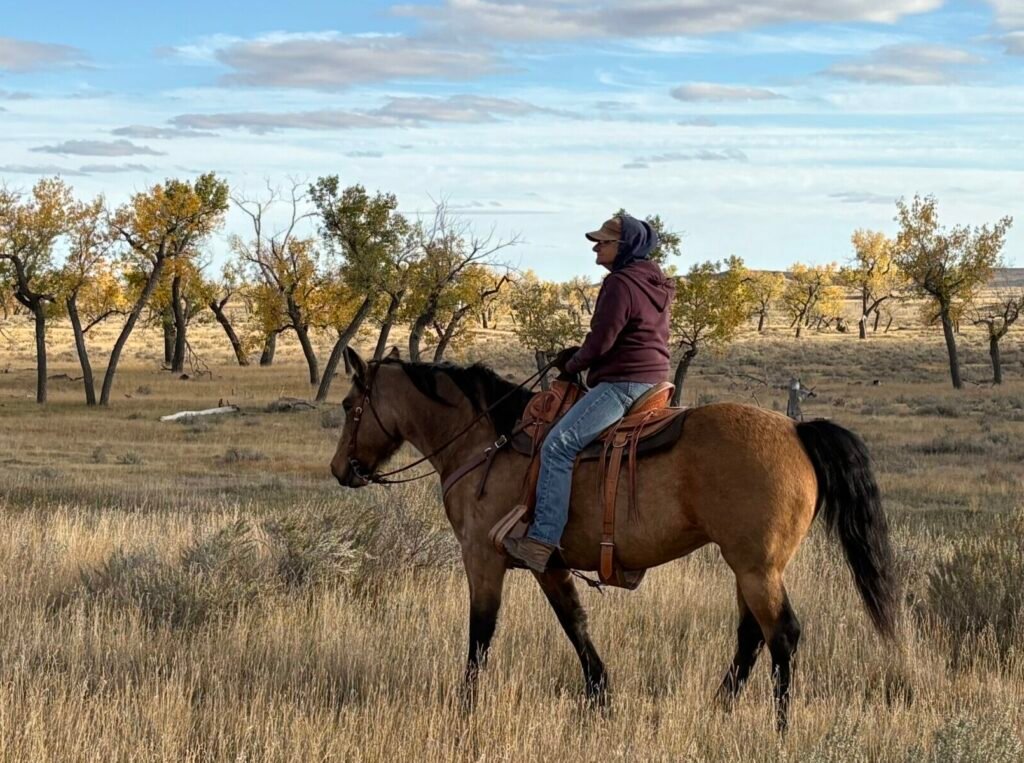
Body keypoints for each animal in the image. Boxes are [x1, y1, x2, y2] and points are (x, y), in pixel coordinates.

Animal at [329, 348, 898, 730]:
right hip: (751, 567)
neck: (485, 441)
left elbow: (481, 635)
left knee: (783, 635)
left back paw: (778, 727)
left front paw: (466, 708)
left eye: (348, 405)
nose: (341, 469)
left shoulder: (483, 559)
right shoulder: (549, 564)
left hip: (757, 568)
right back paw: (718, 709)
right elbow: (575, 625)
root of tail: (797, 430)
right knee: (751, 636)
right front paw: (602, 699)